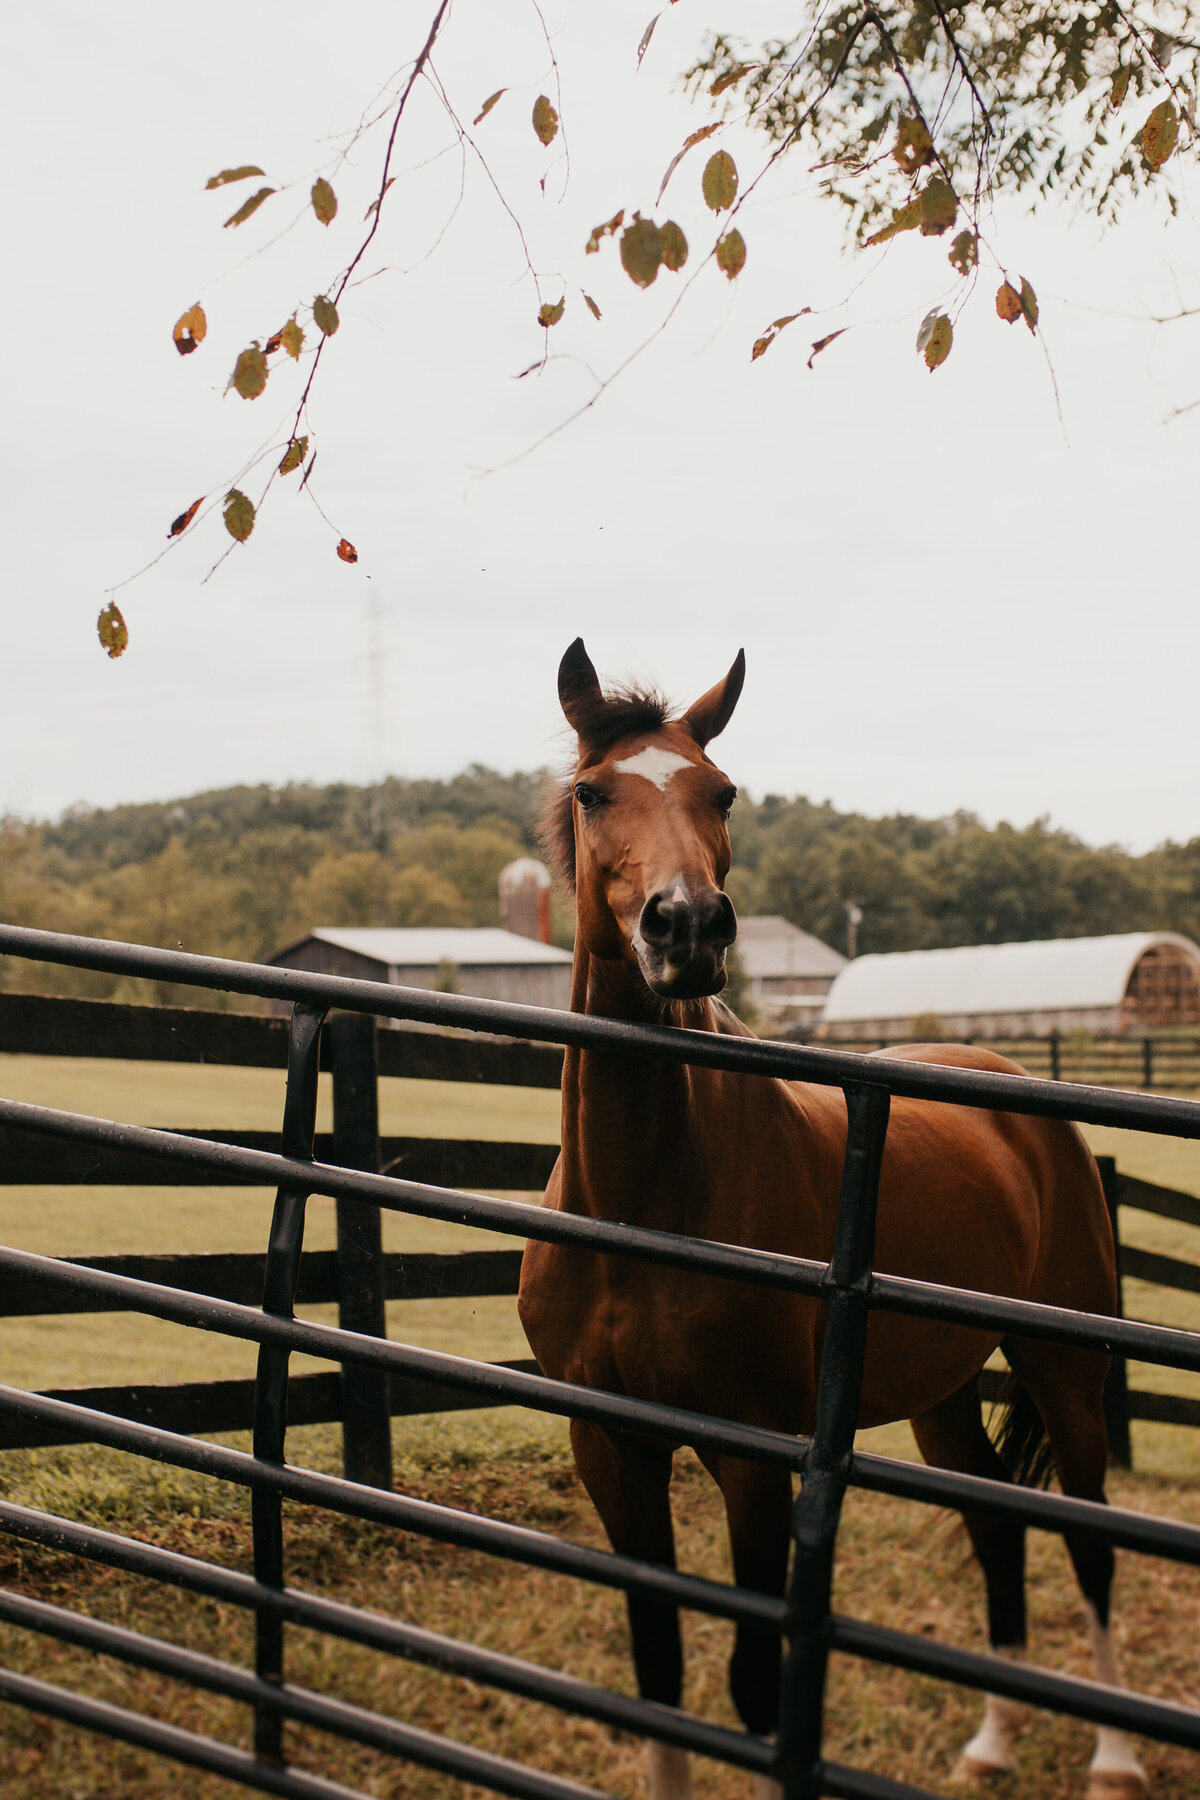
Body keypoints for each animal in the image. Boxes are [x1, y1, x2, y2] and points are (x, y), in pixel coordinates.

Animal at [521, 644, 1151, 1800]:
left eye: (722, 793)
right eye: (593, 793)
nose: (687, 927)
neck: (643, 1214)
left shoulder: (758, 1462)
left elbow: (757, 1689)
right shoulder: (611, 1446)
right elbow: (657, 1668)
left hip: (1064, 1371)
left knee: (1087, 1540)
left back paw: (1115, 1757)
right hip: (942, 1394)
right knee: (995, 1523)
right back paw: (994, 1740)